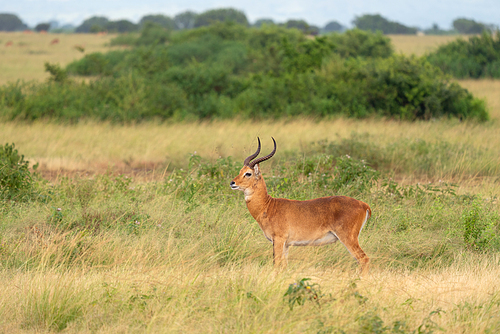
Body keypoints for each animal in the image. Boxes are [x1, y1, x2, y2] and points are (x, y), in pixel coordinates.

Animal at [230, 137, 372, 272]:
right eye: (240, 171)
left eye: (248, 173)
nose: (232, 183)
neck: (268, 206)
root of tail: (364, 205)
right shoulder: (286, 245)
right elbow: (284, 266)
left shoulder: (278, 240)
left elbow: (276, 265)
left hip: (348, 238)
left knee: (364, 259)